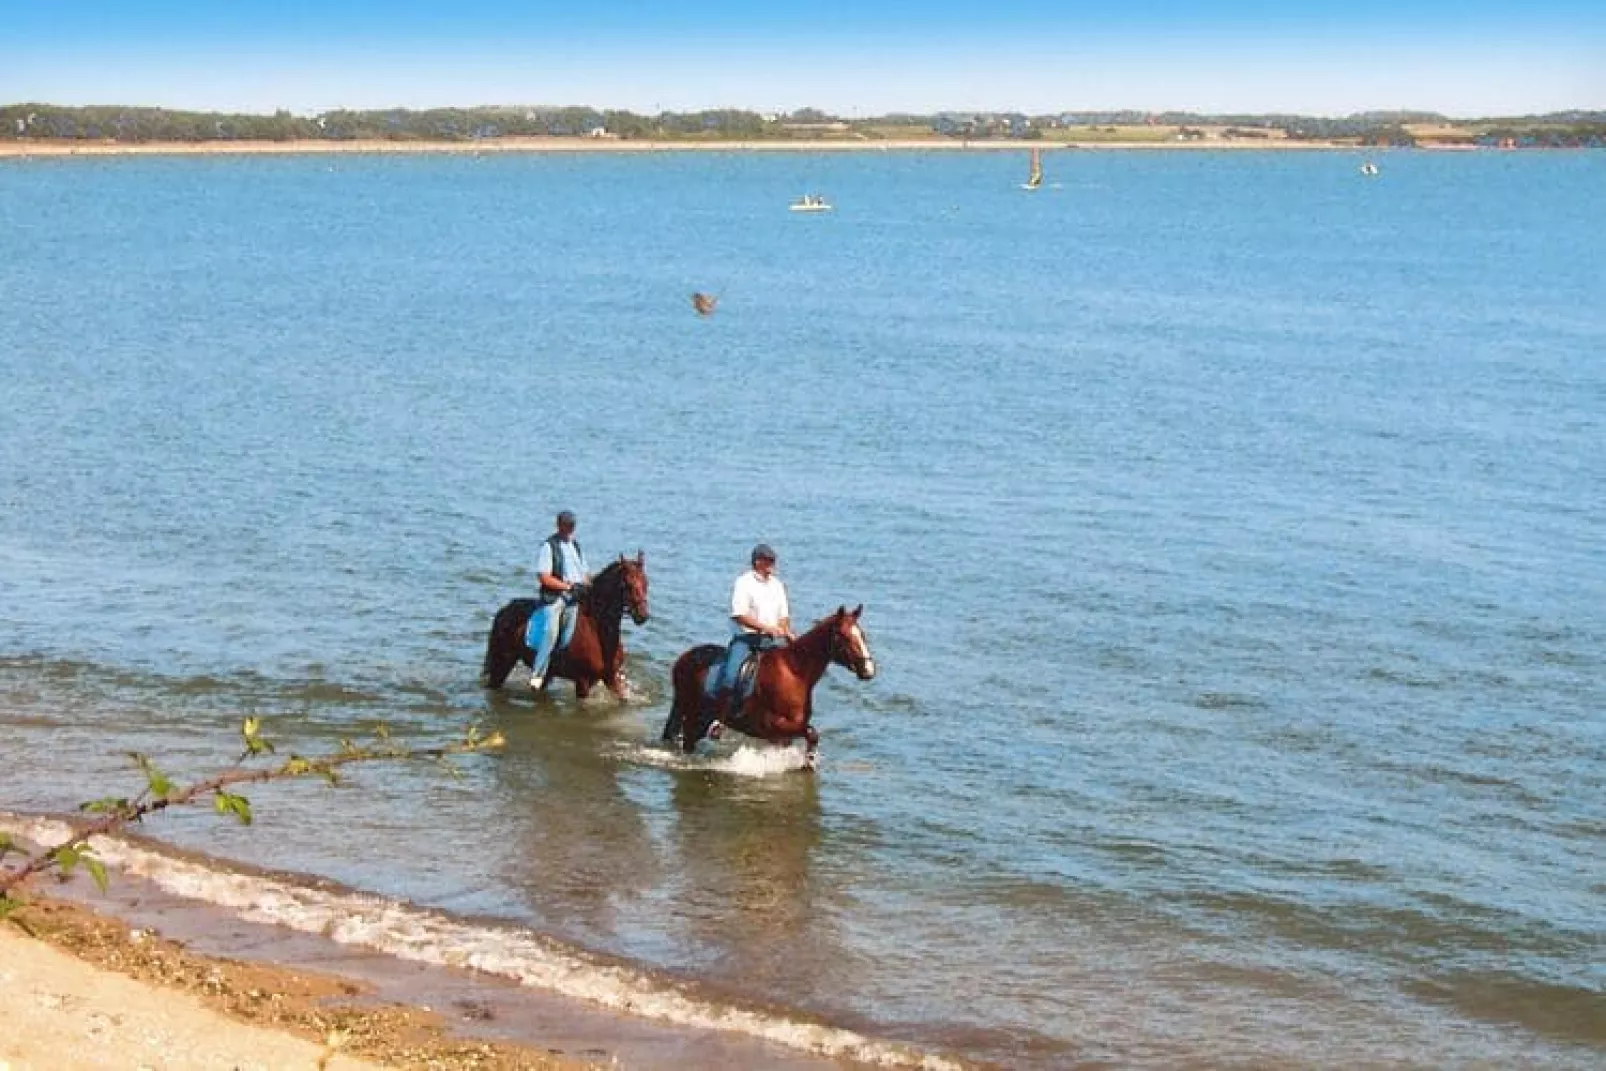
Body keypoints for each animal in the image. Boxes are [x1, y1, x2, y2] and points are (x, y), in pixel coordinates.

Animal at [478, 552, 648, 703]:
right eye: (627, 585)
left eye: (645, 582)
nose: (642, 616)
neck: (596, 629)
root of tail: (505, 610)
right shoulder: (583, 681)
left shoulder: (610, 677)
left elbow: (623, 700)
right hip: (502, 662)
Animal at [658, 610, 873, 761]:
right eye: (844, 636)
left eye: (862, 634)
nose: (868, 669)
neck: (795, 673)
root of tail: (685, 657)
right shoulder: (774, 727)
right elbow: (812, 732)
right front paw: (809, 761)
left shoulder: (784, 737)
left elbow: (809, 733)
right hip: (692, 714)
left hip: (702, 717)